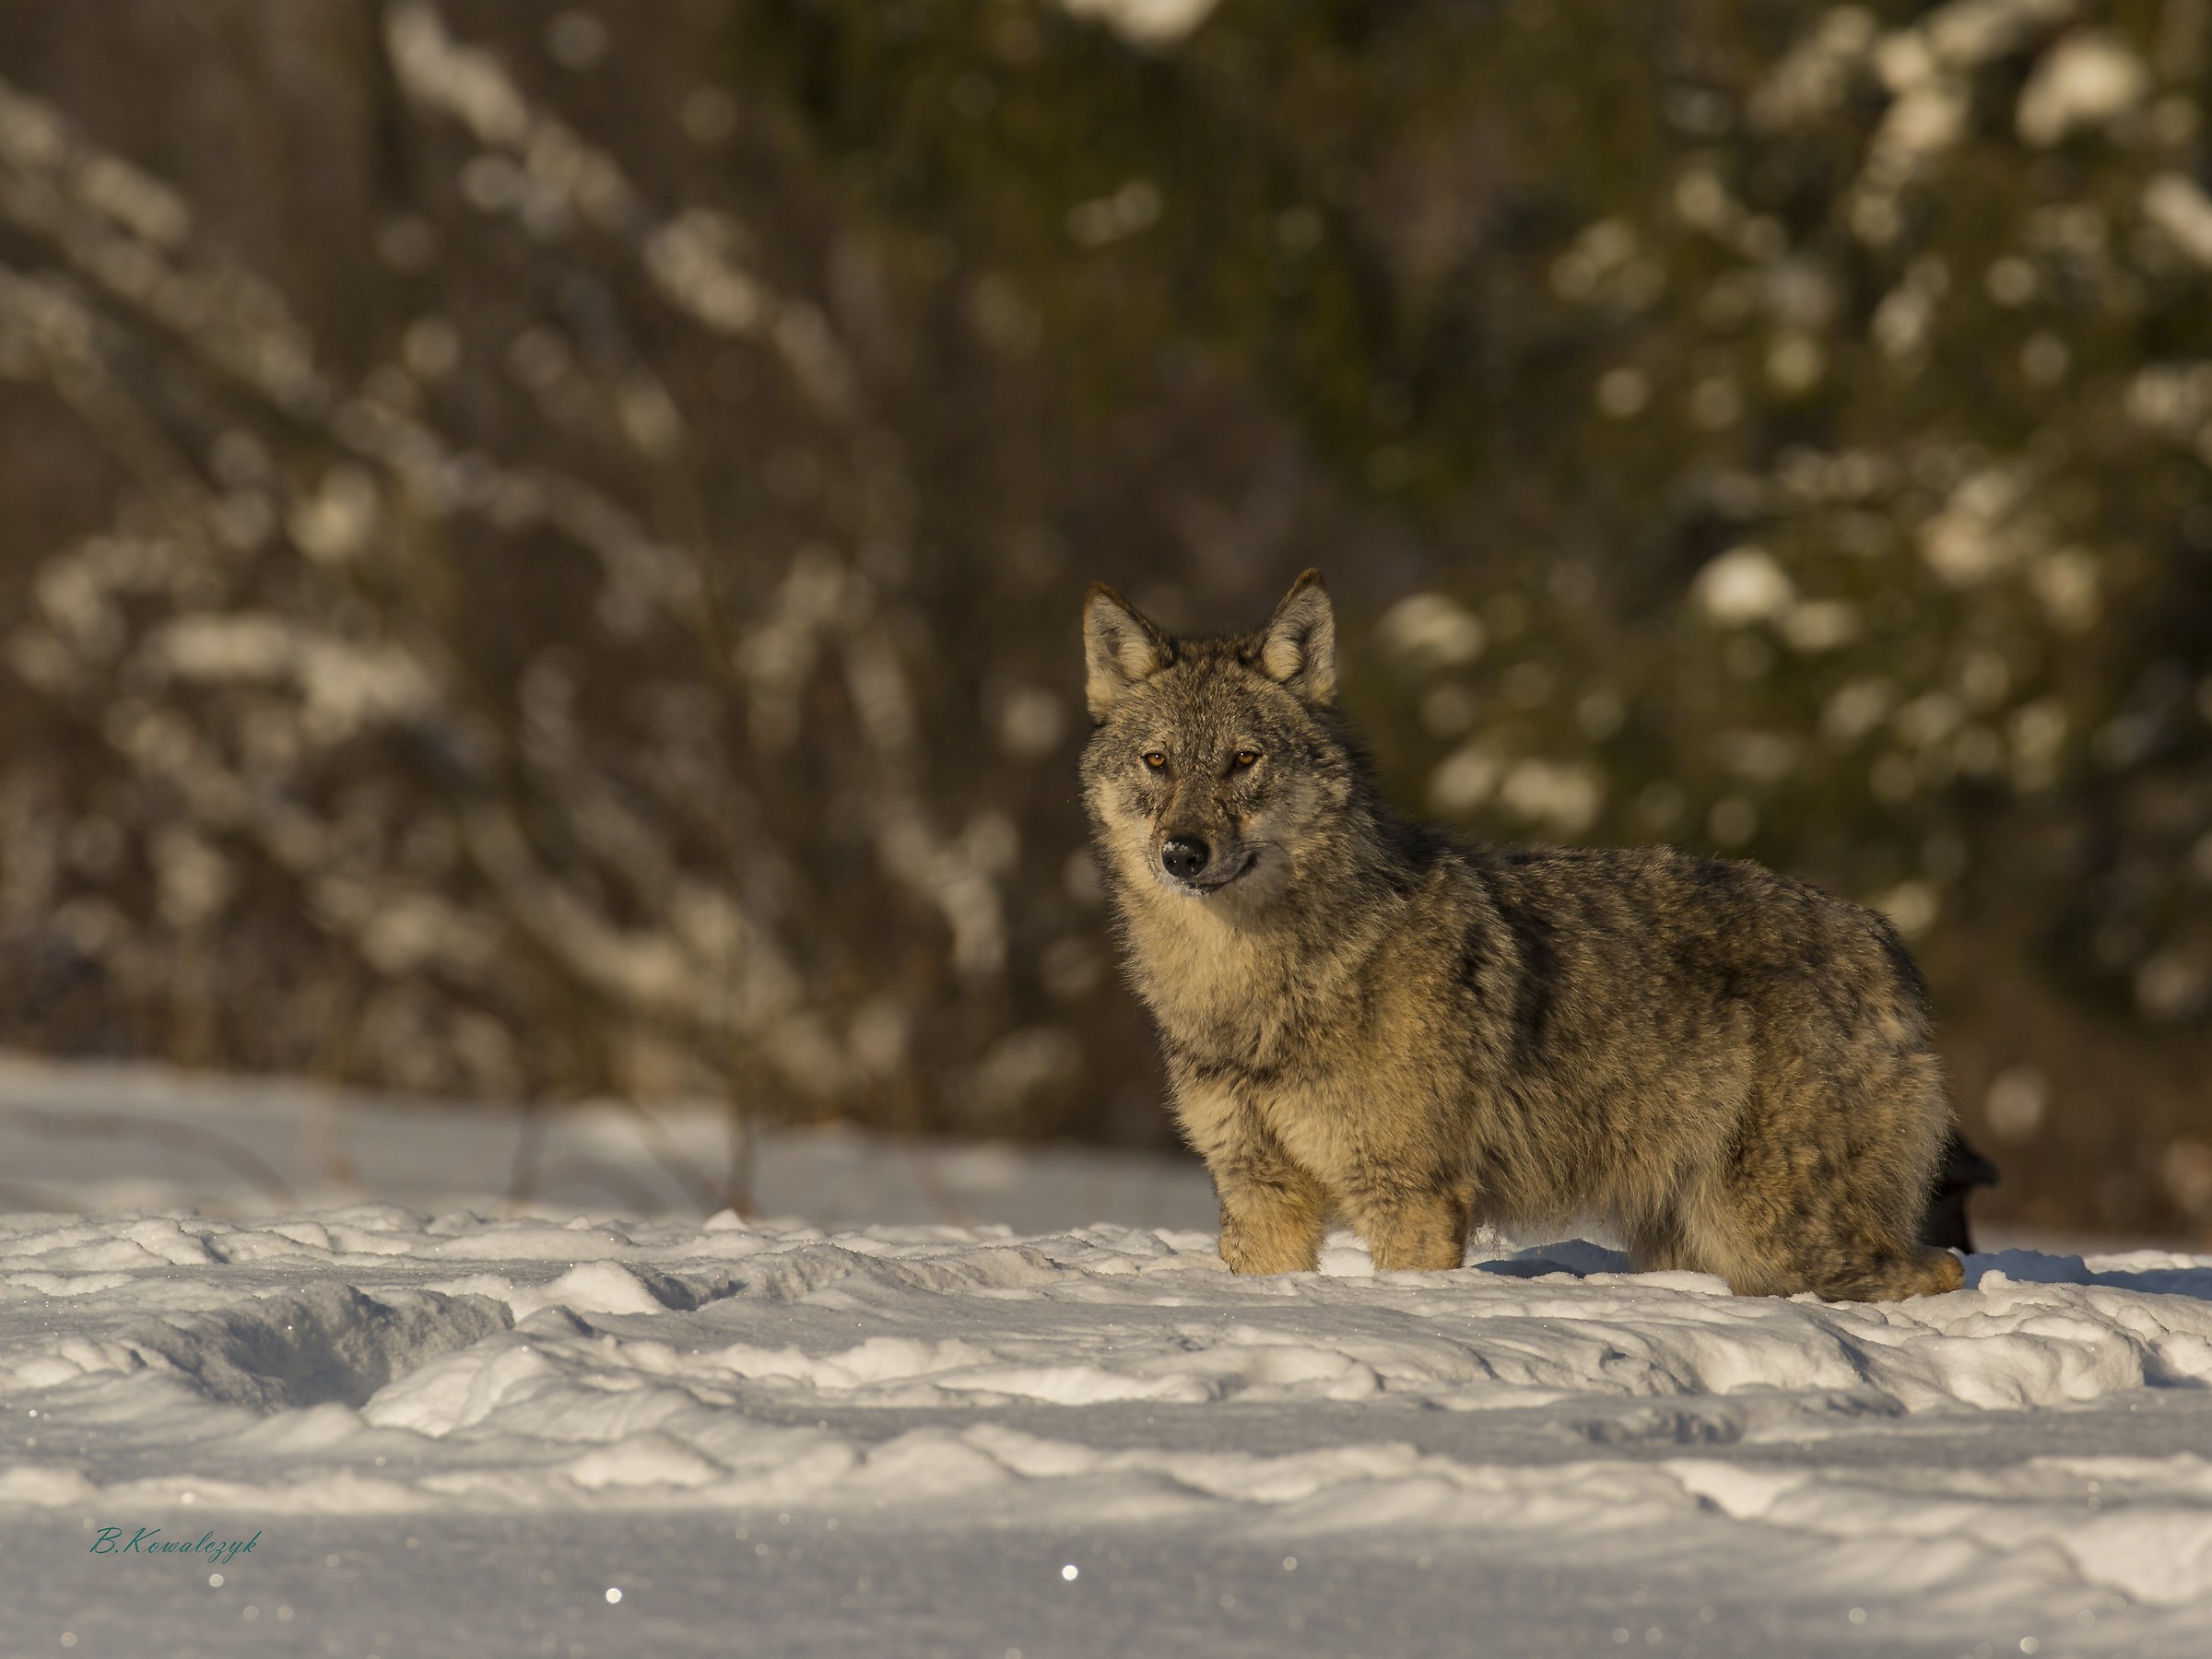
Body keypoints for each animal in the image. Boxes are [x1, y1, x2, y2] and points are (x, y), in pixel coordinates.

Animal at [1078, 570, 1964, 1301]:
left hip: (1776, 1236)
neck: (1253, 983)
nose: (1183, 853)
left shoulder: (1409, 1196)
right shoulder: (1258, 1193)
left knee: (1939, 1270)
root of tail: (1881, 936)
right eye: (1157, 762)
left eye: (1243, 761)